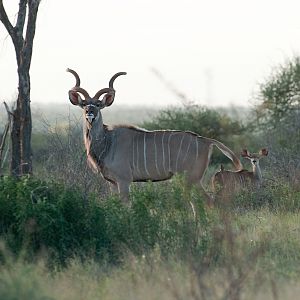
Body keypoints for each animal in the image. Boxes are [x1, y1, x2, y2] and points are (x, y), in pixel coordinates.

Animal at [67, 69, 243, 206]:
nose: (90, 113)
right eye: (84, 104)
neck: (108, 142)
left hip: (191, 178)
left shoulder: (124, 180)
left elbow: (126, 206)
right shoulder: (112, 183)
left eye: (98, 104)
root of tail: (205, 140)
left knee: (206, 202)